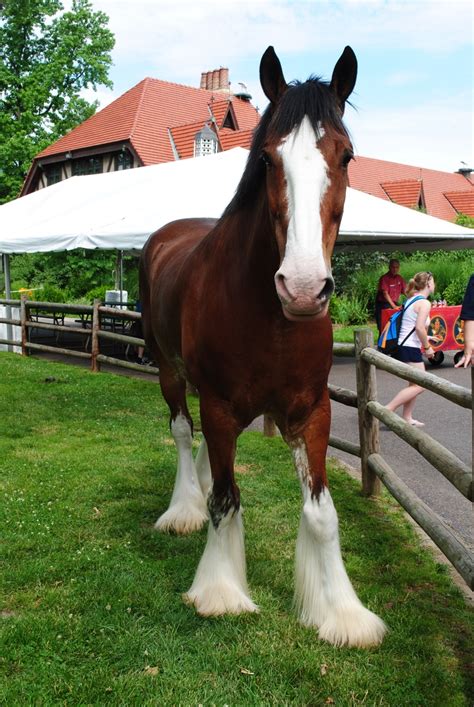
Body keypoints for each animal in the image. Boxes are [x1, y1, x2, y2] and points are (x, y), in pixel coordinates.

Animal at [140, 47, 386, 648]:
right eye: (270, 160)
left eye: (346, 156)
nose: (302, 287)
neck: (272, 318)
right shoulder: (220, 407)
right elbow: (226, 500)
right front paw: (220, 590)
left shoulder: (311, 411)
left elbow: (322, 512)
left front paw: (341, 612)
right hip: (171, 373)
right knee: (183, 434)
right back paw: (183, 509)